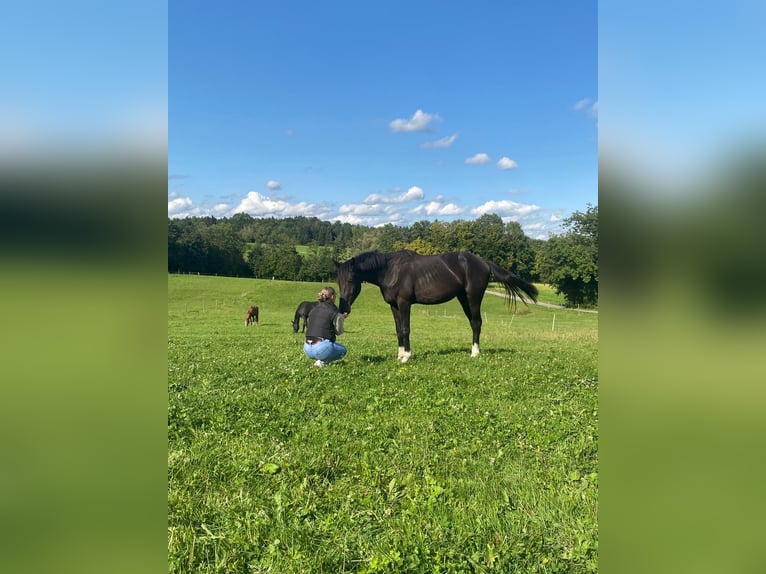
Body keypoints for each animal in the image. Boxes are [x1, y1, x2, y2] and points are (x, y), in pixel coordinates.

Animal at [335, 250, 538, 362]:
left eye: (351, 280)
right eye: (338, 281)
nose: (344, 309)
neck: (391, 270)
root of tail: (484, 262)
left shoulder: (404, 303)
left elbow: (406, 329)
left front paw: (406, 356)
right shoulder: (394, 306)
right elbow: (398, 330)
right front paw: (399, 355)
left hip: (473, 298)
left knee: (477, 323)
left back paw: (475, 353)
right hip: (463, 298)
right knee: (474, 323)